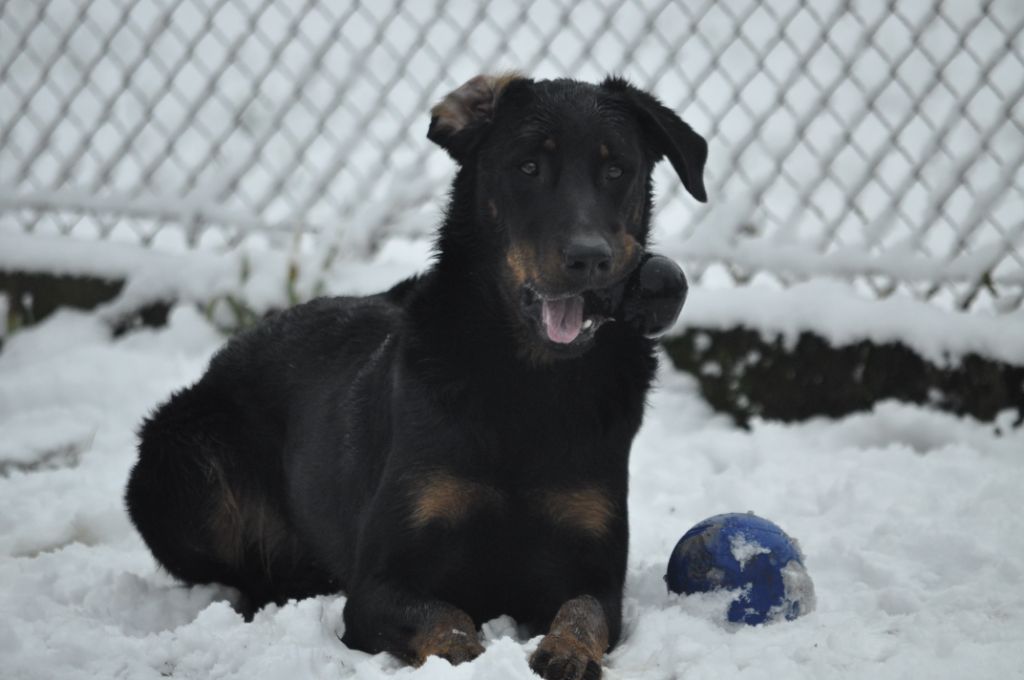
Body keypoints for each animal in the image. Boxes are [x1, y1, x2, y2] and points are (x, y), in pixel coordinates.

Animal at [125, 74, 704, 680]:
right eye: (527, 167)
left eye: (617, 171)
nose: (590, 259)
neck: (526, 383)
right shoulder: (380, 582)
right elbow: (444, 617)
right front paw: (468, 654)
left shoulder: (596, 570)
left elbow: (584, 610)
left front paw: (567, 651)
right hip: (182, 461)